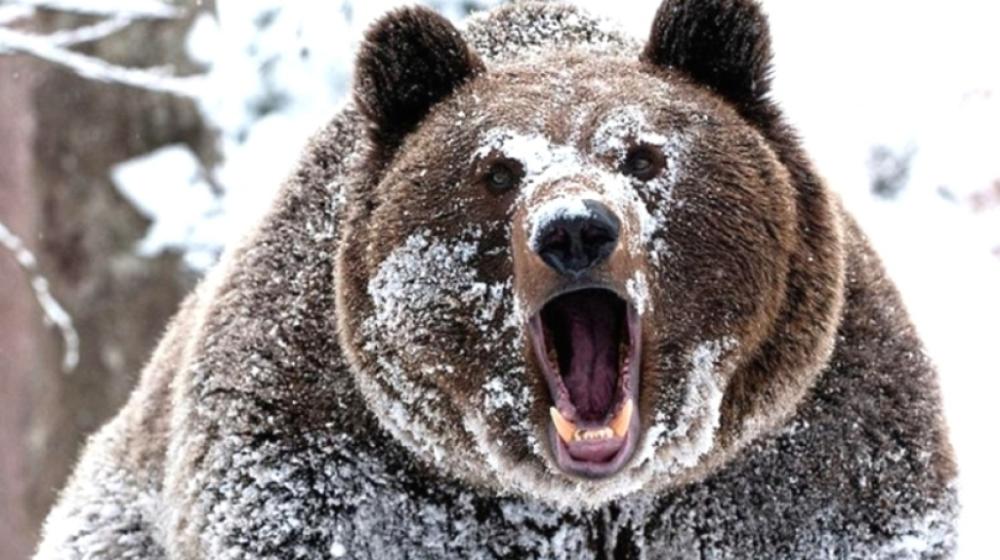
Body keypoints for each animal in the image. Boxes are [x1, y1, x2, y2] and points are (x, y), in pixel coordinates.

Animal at [34, 0, 958, 558]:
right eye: (498, 169)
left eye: (644, 154)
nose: (576, 228)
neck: (584, 501)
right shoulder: (335, 467)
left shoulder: (800, 464)